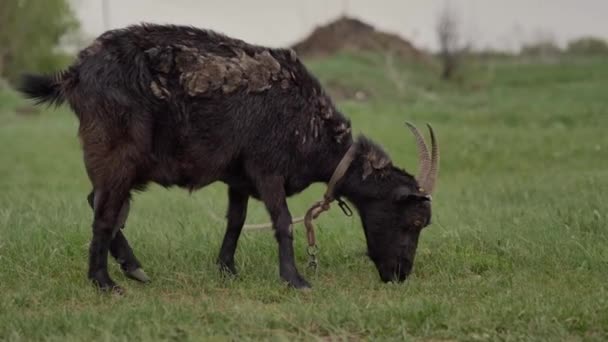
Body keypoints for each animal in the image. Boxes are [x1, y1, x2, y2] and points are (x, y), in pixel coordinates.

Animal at [19, 24, 436, 292]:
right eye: (414, 220)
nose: (401, 275)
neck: (308, 122)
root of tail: (74, 74)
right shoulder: (267, 169)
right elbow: (282, 222)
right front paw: (296, 280)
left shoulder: (239, 179)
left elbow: (235, 221)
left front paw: (227, 269)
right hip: (115, 154)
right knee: (104, 213)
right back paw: (104, 282)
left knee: (99, 202)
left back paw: (133, 268)